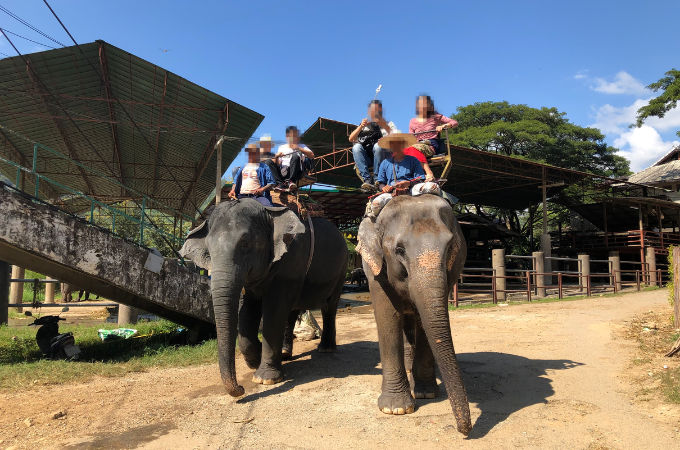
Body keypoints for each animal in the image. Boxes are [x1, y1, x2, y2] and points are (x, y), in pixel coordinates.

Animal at [179, 199, 348, 396]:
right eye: (209, 251)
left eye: (245, 244)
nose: (241, 389)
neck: (267, 211)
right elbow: (247, 312)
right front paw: (255, 361)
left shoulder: (291, 260)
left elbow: (274, 311)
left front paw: (265, 378)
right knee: (292, 311)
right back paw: (285, 354)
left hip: (342, 269)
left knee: (329, 306)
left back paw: (325, 348)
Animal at [356, 195, 472, 434]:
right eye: (399, 249)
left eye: (449, 247)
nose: (464, 429)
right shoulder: (375, 267)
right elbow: (388, 315)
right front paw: (395, 409)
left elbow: (424, 320)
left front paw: (426, 394)